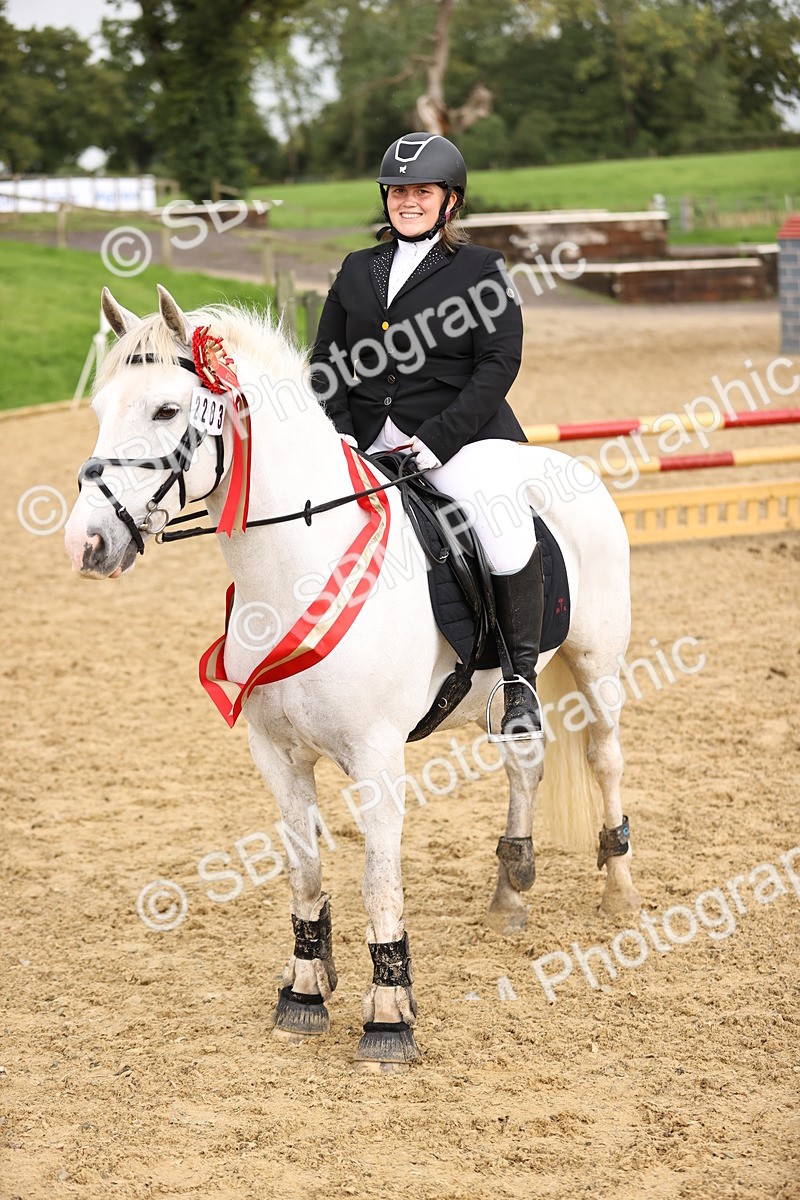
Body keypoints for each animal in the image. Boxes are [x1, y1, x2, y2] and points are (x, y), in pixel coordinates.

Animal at [64, 285, 640, 1071]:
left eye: (165, 411)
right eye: (100, 408)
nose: (86, 543)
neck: (297, 562)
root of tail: (567, 466)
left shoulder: (375, 756)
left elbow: (379, 882)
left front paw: (390, 1017)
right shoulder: (276, 754)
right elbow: (305, 868)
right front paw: (305, 991)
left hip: (596, 665)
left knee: (605, 758)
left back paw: (619, 890)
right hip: (503, 695)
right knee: (526, 761)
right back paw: (510, 891)